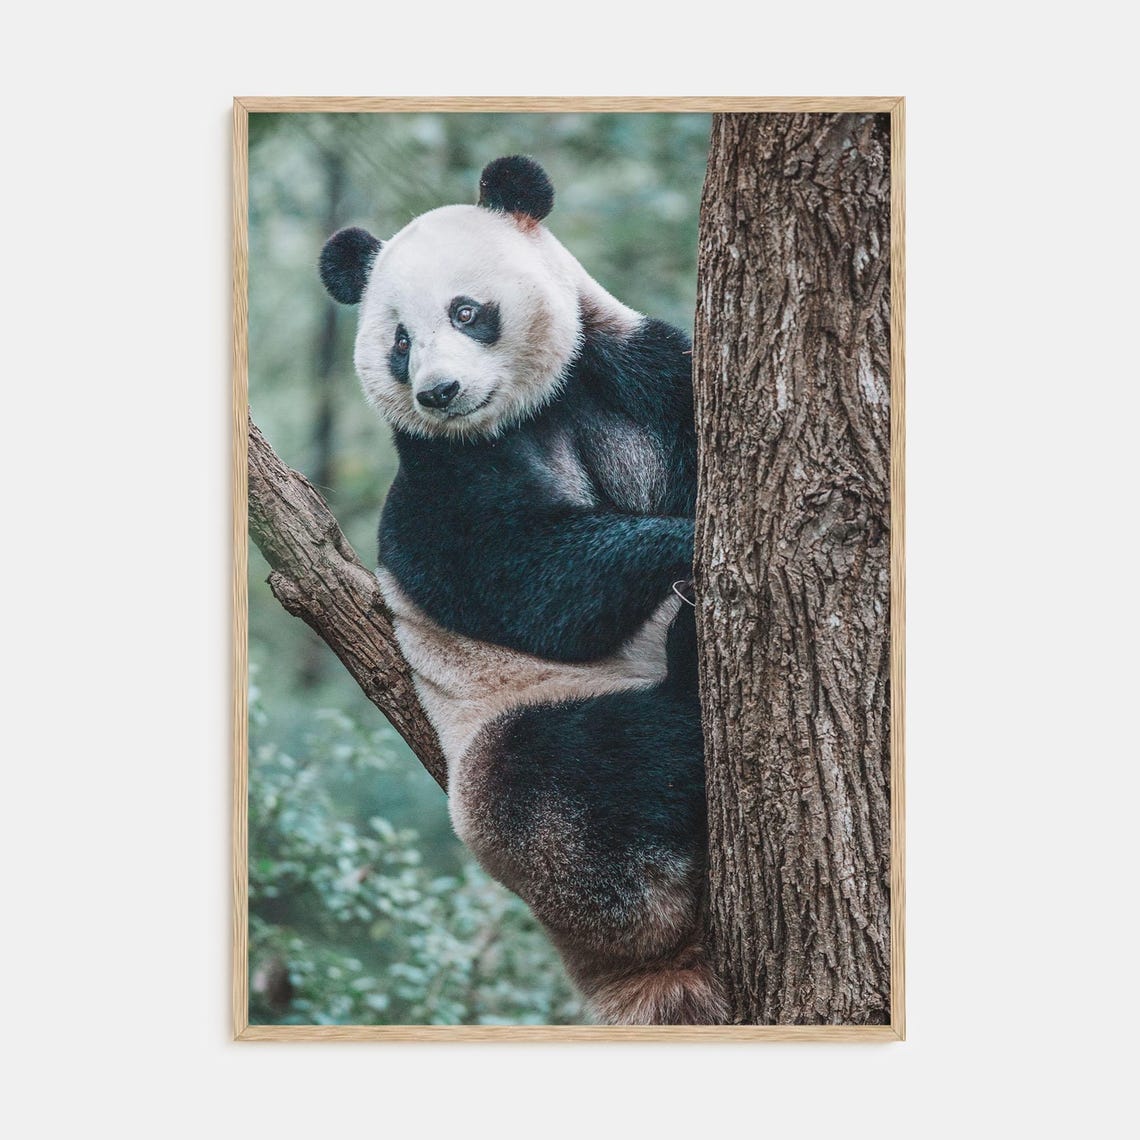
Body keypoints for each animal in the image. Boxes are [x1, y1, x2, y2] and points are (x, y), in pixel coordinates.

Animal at [320, 156, 726, 1025]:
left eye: (467, 311)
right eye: (399, 341)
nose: (438, 391)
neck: (528, 412)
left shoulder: (636, 376)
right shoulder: (437, 485)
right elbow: (531, 582)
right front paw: (685, 542)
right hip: (507, 765)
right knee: (580, 775)